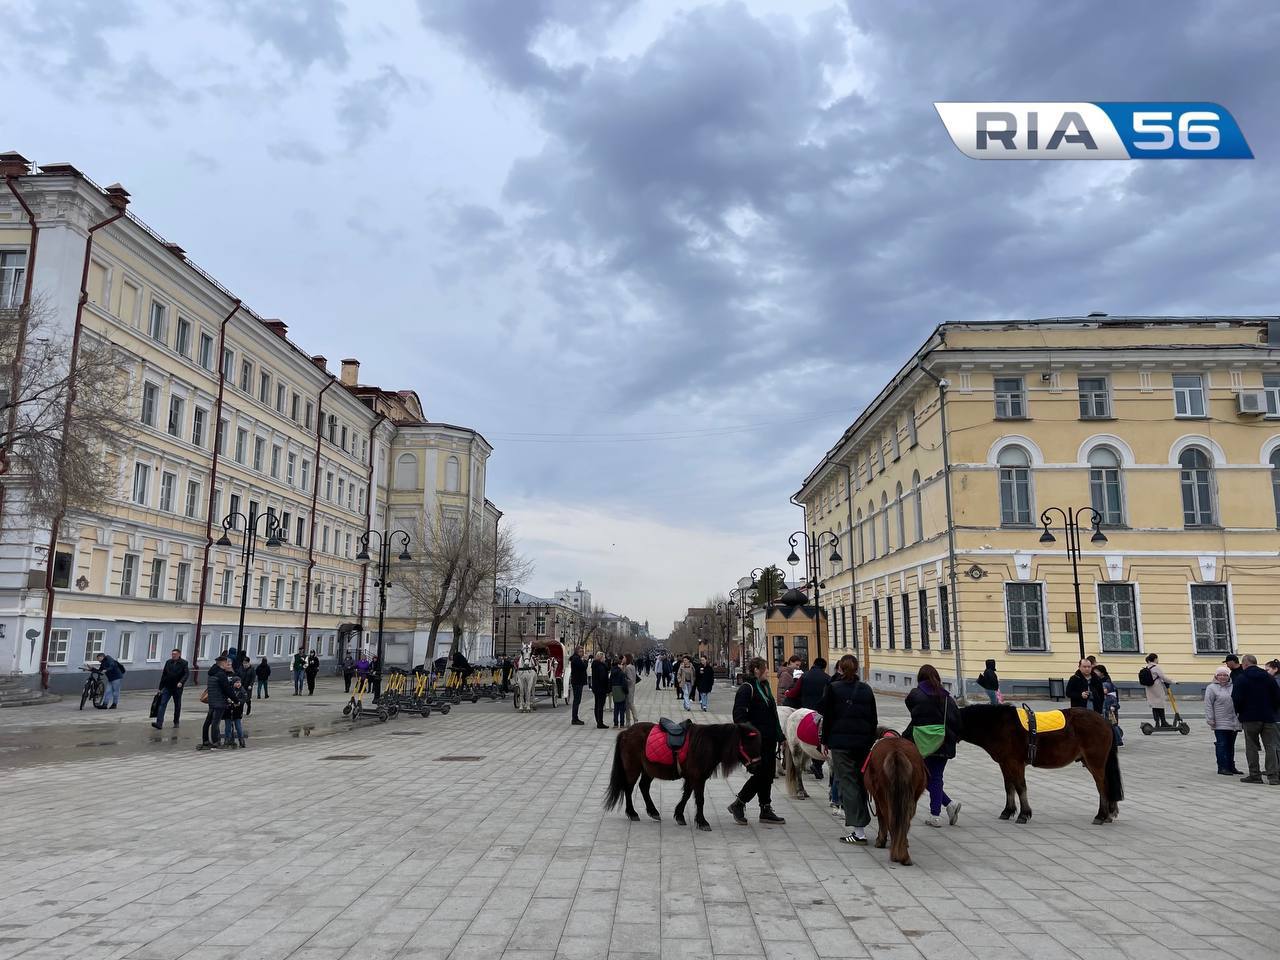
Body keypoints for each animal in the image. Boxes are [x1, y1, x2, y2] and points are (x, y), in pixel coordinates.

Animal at [604, 716, 762, 829]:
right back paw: (632, 813)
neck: (709, 743)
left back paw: (653, 812)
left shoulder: (692, 777)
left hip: (648, 769)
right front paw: (702, 822)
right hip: (633, 768)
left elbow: (686, 795)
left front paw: (679, 815)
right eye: (748, 744)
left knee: (643, 787)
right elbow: (700, 799)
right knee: (628, 789)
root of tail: (626, 733)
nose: (757, 767)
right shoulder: (698, 777)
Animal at [855, 732, 926, 870]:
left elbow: (881, 820)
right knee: (903, 822)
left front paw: (880, 841)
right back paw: (904, 856)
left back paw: (895, 853)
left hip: (884, 798)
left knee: (890, 819)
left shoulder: (877, 799)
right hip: (907, 799)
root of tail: (896, 752)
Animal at [962, 701, 1121, 829]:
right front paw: (1008, 811)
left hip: (1095, 762)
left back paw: (1101, 816)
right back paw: (1108, 814)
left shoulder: (1015, 763)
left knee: (1102, 786)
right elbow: (1009, 786)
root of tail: (1105, 721)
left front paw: (1024, 814)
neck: (1000, 725)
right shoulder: (1004, 763)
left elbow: (1020, 787)